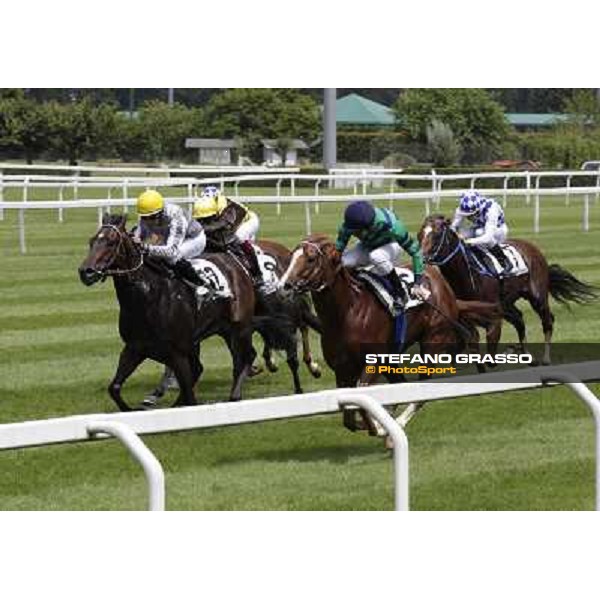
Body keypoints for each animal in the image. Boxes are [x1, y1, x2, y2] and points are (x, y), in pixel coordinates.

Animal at [420, 216, 596, 366]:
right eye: (420, 234)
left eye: (436, 235)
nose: (422, 258)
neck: (468, 274)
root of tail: (532, 248)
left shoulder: (492, 317)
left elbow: (489, 354)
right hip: (507, 303)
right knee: (519, 319)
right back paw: (524, 353)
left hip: (537, 297)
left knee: (547, 321)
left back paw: (544, 358)